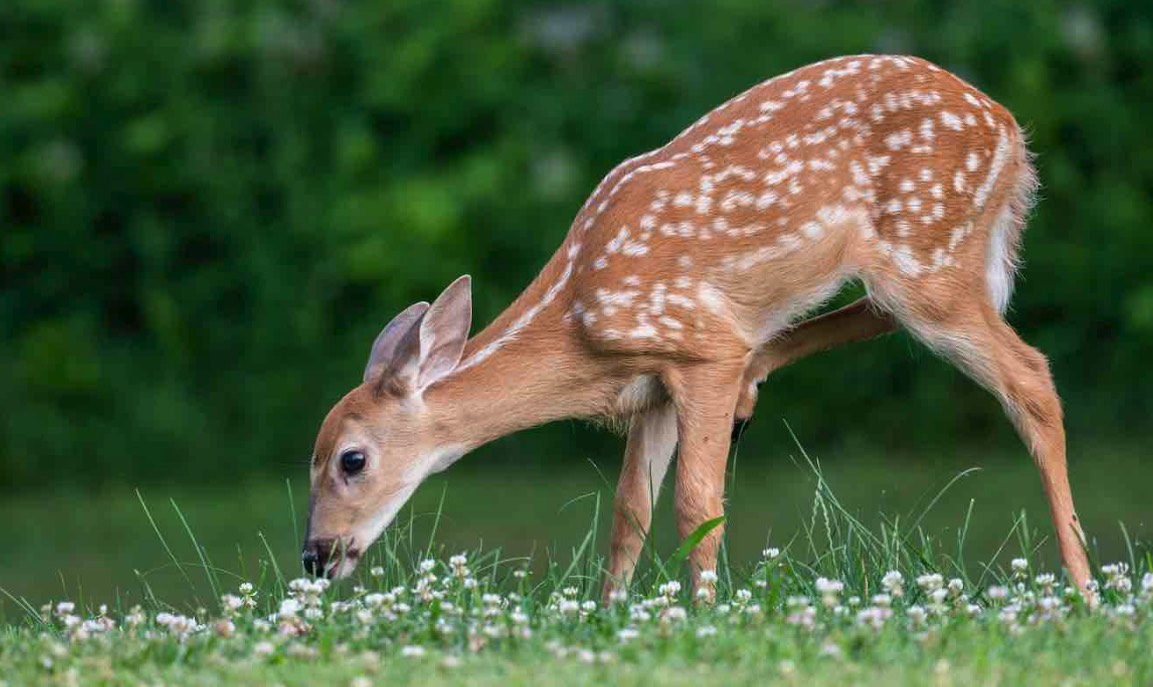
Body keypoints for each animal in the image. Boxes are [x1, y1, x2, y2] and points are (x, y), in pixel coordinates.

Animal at [299, 55, 1088, 599]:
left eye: (351, 459)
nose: (314, 554)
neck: (578, 320)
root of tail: (1011, 133)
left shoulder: (697, 346)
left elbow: (694, 504)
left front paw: (704, 612)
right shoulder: (651, 387)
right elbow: (627, 513)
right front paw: (610, 611)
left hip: (930, 253)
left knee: (1031, 375)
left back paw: (1081, 586)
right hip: (913, 266)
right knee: (872, 317)